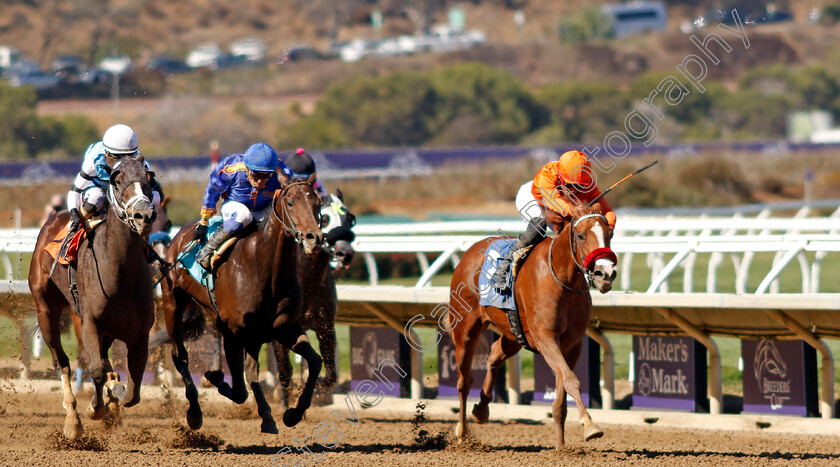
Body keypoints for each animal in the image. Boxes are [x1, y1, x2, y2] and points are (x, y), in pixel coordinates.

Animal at [28, 156, 158, 438]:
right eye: (117, 180)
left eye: (149, 179)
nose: (144, 215)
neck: (120, 272)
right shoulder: (89, 322)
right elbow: (96, 370)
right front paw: (95, 408)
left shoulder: (140, 334)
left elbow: (133, 389)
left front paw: (113, 398)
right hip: (46, 308)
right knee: (62, 362)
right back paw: (73, 421)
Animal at [162, 174, 324, 434]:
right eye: (290, 202)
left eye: (317, 203)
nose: (314, 239)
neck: (266, 271)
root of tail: (180, 236)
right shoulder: (235, 333)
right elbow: (240, 388)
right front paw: (216, 379)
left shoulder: (284, 329)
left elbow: (315, 362)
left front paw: (292, 414)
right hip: (172, 304)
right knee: (180, 356)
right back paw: (195, 412)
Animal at [446, 204, 616, 450]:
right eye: (581, 235)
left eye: (609, 234)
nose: (606, 274)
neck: (563, 278)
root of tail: (470, 251)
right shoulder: (546, 339)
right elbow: (571, 380)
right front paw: (590, 425)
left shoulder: (571, 344)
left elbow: (562, 392)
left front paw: (561, 447)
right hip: (465, 329)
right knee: (463, 381)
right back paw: (462, 433)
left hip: (514, 334)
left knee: (495, 354)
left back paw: (481, 409)